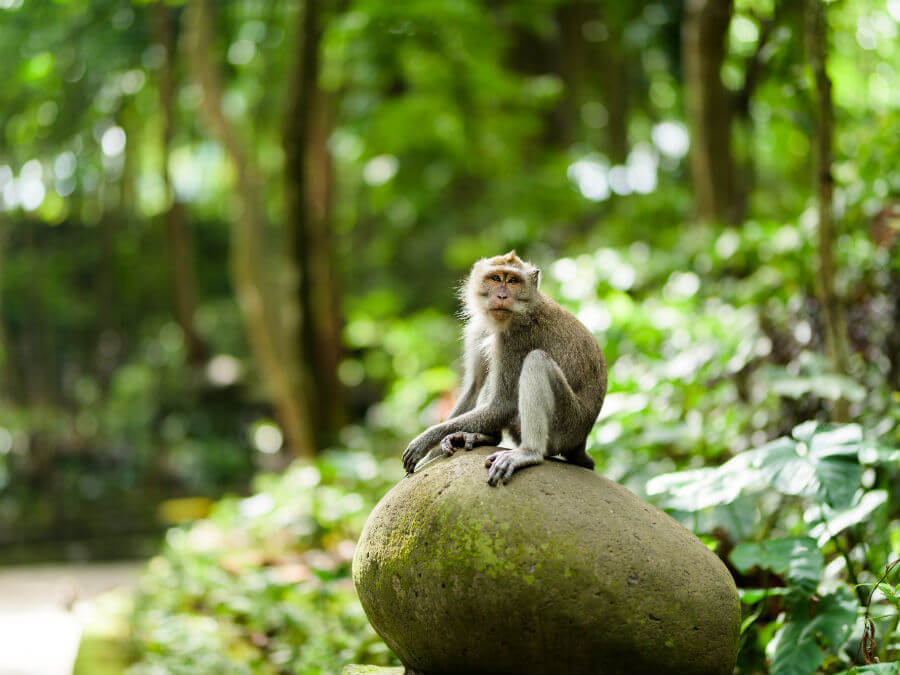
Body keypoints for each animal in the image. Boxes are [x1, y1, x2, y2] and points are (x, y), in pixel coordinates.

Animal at [401, 251, 607, 485]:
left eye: (513, 281)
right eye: (496, 278)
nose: (501, 296)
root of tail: (582, 440)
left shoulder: (517, 338)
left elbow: (503, 405)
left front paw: (425, 440)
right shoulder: (478, 328)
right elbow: (474, 387)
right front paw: (431, 455)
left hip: (566, 425)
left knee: (536, 361)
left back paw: (528, 453)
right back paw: (483, 437)